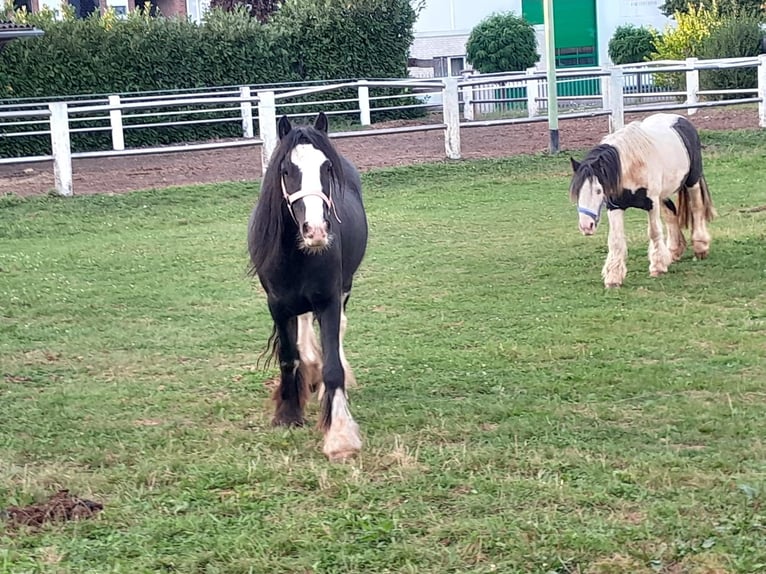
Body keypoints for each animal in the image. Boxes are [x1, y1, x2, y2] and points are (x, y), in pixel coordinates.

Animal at [249, 112, 368, 464]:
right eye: (286, 170)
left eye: (327, 168)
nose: (315, 230)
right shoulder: (276, 304)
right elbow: (290, 357)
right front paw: (288, 414)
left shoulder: (329, 299)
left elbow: (333, 368)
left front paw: (340, 434)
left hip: (344, 288)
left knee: (338, 332)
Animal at [568, 113, 720, 290]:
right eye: (577, 193)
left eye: (599, 190)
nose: (586, 226)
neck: (632, 166)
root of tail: (681, 119)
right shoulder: (615, 206)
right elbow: (615, 239)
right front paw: (613, 277)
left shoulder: (651, 203)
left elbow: (654, 232)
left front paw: (658, 267)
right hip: (664, 194)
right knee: (671, 214)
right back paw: (674, 250)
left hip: (692, 181)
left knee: (696, 208)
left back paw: (700, 247)